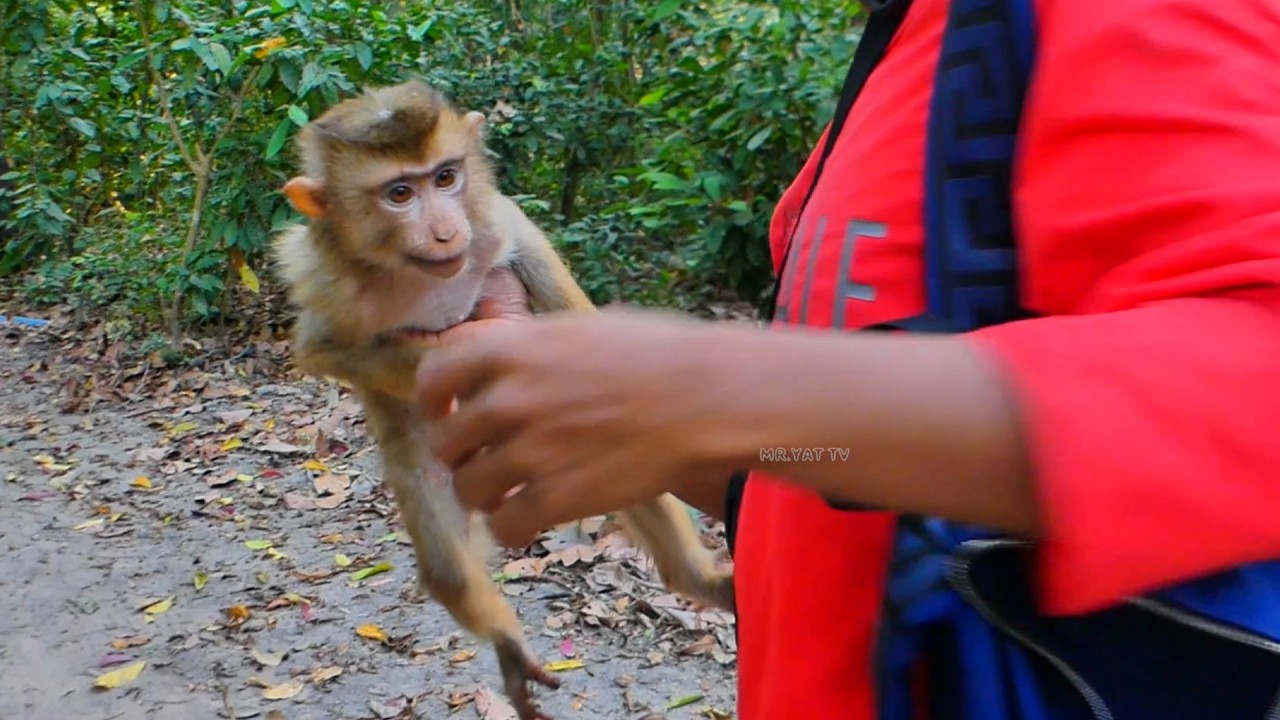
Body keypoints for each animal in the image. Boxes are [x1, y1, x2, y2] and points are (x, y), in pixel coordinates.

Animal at [269, 79, 734, 720]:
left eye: (445, 178)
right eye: (399, 193)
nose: (445, 230)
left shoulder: (502, 227)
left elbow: (574, 321)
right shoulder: (325, 282)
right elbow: (324, 350)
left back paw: (695, 580)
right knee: (447, 569)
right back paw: (509, 646)